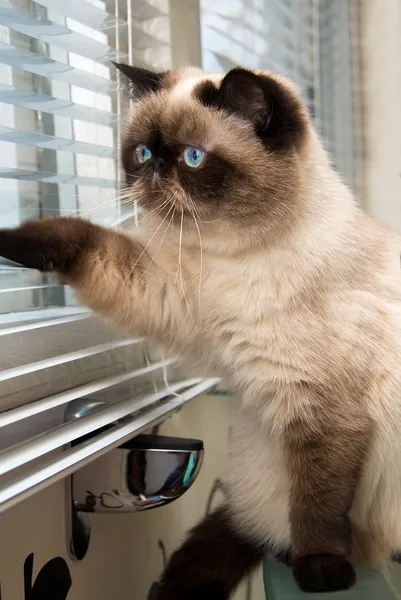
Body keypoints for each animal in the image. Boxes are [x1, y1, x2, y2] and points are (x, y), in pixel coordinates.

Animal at [0, 63, 400, 596]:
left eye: (193, 157)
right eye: (142, 152)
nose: (153, 172)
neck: (225, 260)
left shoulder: (323, 411)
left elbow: (319, 502)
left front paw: (321, 570)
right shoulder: (161, 288)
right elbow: (83, 238)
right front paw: (9, 241)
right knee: (260, 524)